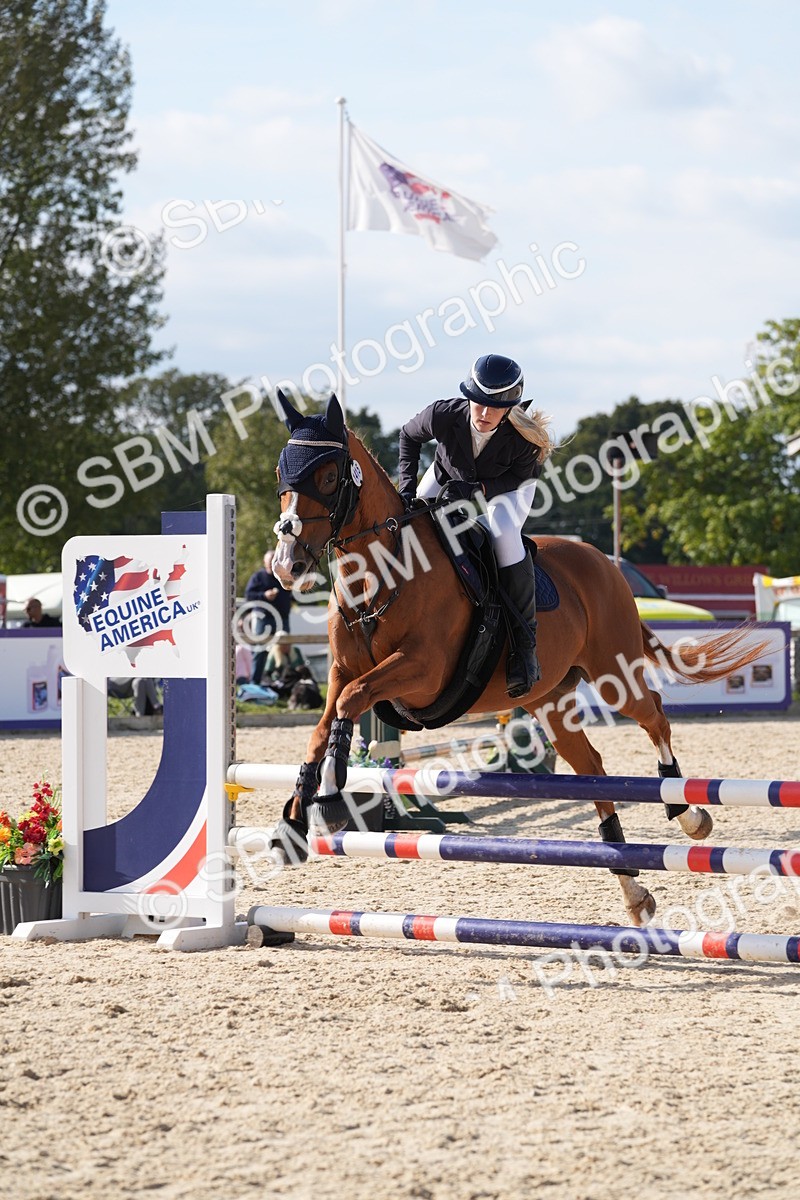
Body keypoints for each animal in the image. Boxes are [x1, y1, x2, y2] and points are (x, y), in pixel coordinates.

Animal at [270, 392, 769, 925]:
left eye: (327, 476)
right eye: (282, 469)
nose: (286, 565)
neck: (382, 574)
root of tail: (604, 562)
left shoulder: (421, 673)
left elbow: (352, 702)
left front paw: (329, 798)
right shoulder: (340, 671)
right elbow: (324, 724)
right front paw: (293, 821)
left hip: (614, 673)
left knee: (653, 714)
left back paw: (687, 812)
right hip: (549, 701)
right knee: (592, 765)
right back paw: (633, 889)